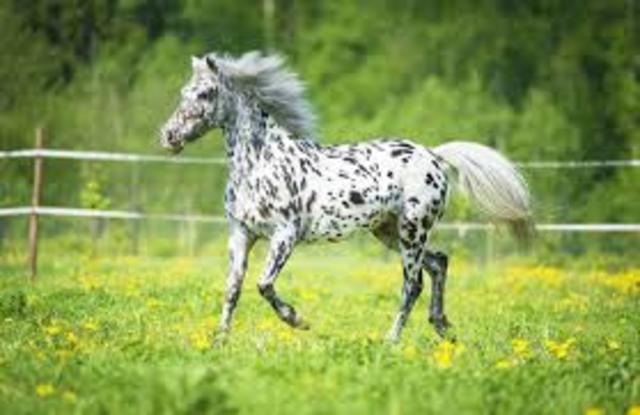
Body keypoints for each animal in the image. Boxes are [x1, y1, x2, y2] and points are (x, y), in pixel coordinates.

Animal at [159, 51, 533, 342]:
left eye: (205, 93)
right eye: (183, 92)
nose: (169, 136)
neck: (260, 162)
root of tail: (433, 156)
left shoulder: (285, 235)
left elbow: (263, 284)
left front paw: (298, 320)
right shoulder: (241, 234)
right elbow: (232, 289)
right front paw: (219, 341)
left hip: (412, 232)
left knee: (412, 285)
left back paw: (391, 341)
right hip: (389, 232)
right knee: (439, 263)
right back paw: (443, 327)